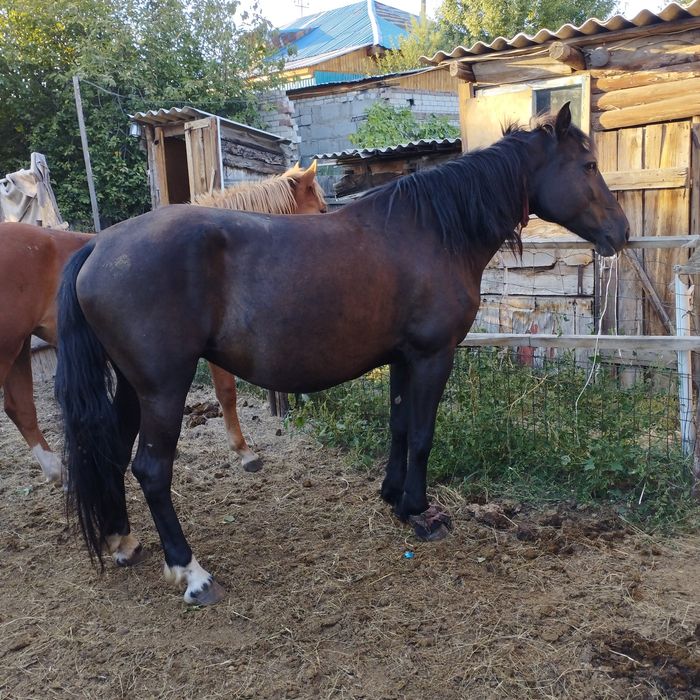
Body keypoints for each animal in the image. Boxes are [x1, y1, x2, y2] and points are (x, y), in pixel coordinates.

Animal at [55, 104, 629, 605]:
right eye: (589, 165)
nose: (622, 232)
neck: (432, 232)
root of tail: (99, 246)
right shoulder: (432, 356)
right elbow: (422, 434)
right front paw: (421, 512)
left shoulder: (401, 358)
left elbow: (399, 427)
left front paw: (394, 498)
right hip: (164, 388)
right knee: (151, 469)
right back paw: (190, 572)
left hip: (134, 388)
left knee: (112, 450)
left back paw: (123, 540)